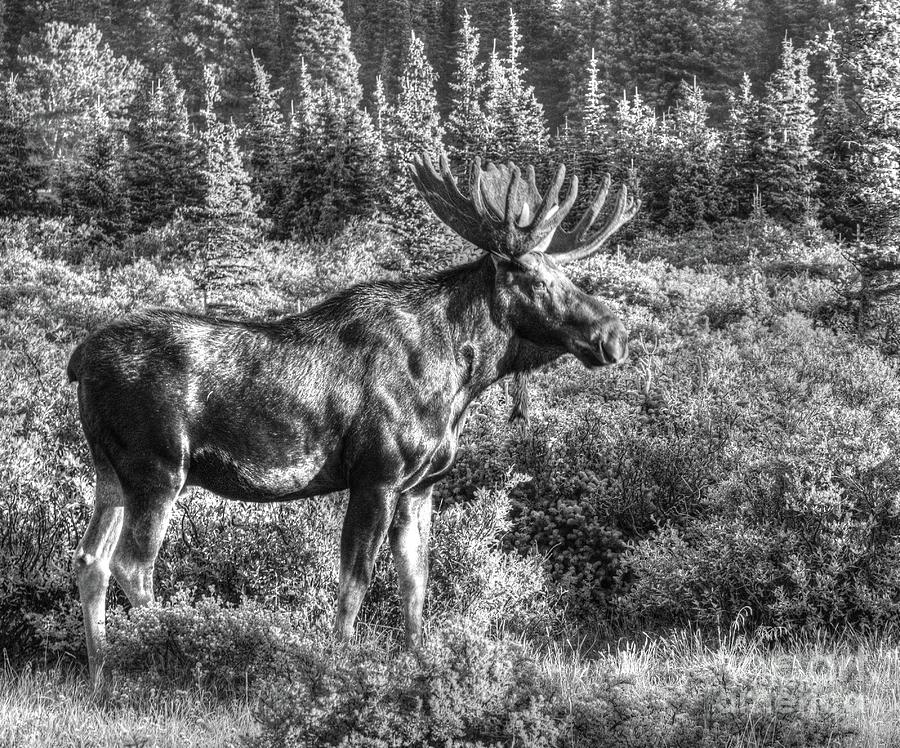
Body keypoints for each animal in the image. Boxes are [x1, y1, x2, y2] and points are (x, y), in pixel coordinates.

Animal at [68, 155, 640, 680]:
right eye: (536, 279)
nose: (614, 334)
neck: (458, 381)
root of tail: (79, 362)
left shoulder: (420, 485)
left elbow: (416, 581)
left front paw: (418, 660)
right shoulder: (376, 474)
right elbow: (355, 582)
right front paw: (338, 663)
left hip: (110, 469)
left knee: (90, 559)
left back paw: (100, 671)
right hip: (159, 466)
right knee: (132, 566)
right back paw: (162, 651)